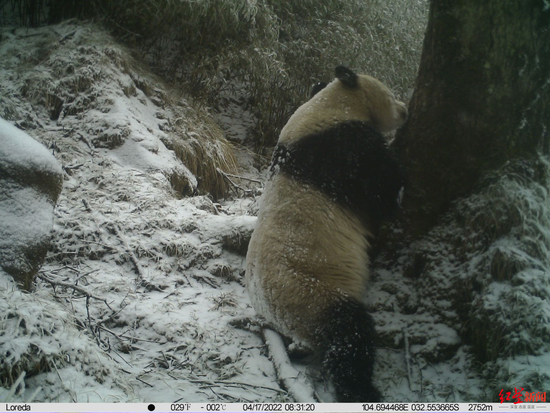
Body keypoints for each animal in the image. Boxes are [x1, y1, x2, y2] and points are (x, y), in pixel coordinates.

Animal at [246, 66, 410, 400]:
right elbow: (379, 191)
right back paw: (360, 389)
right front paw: (399, 183)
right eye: (390, 95)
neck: (329, 104)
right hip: (309, 293)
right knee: (347, 333)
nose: (404, 111)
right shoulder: (340, 150)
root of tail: (269, 311)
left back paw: (299, 351)